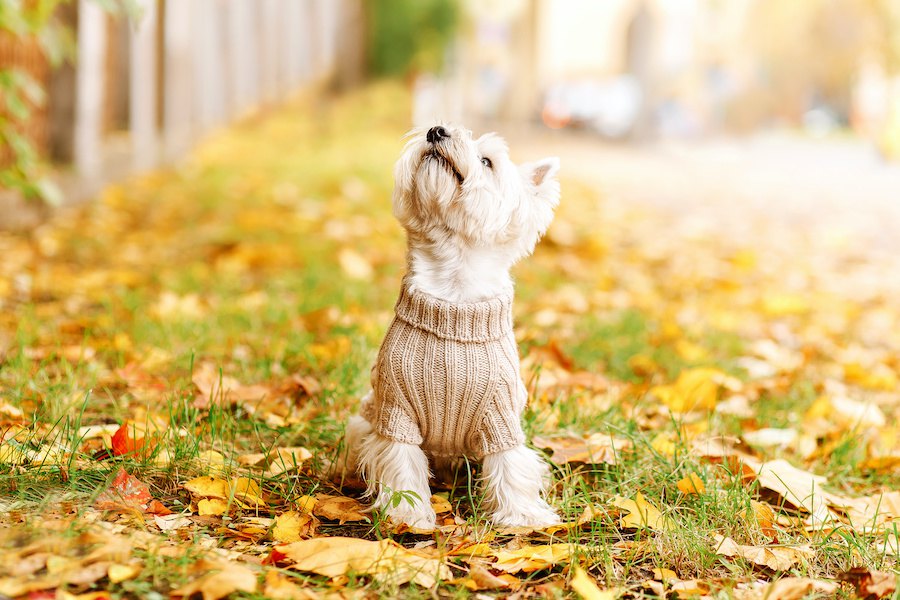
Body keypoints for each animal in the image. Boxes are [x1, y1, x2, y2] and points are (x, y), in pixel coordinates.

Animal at [342, 124, 560, 528]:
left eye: (487, 161)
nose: (436, 130)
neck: (452, 300)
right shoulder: (396, 411)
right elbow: (401, 463)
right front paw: (408, 514)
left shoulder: (501, 415)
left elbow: (510, 464)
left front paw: (523, 517)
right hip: (366, 417)